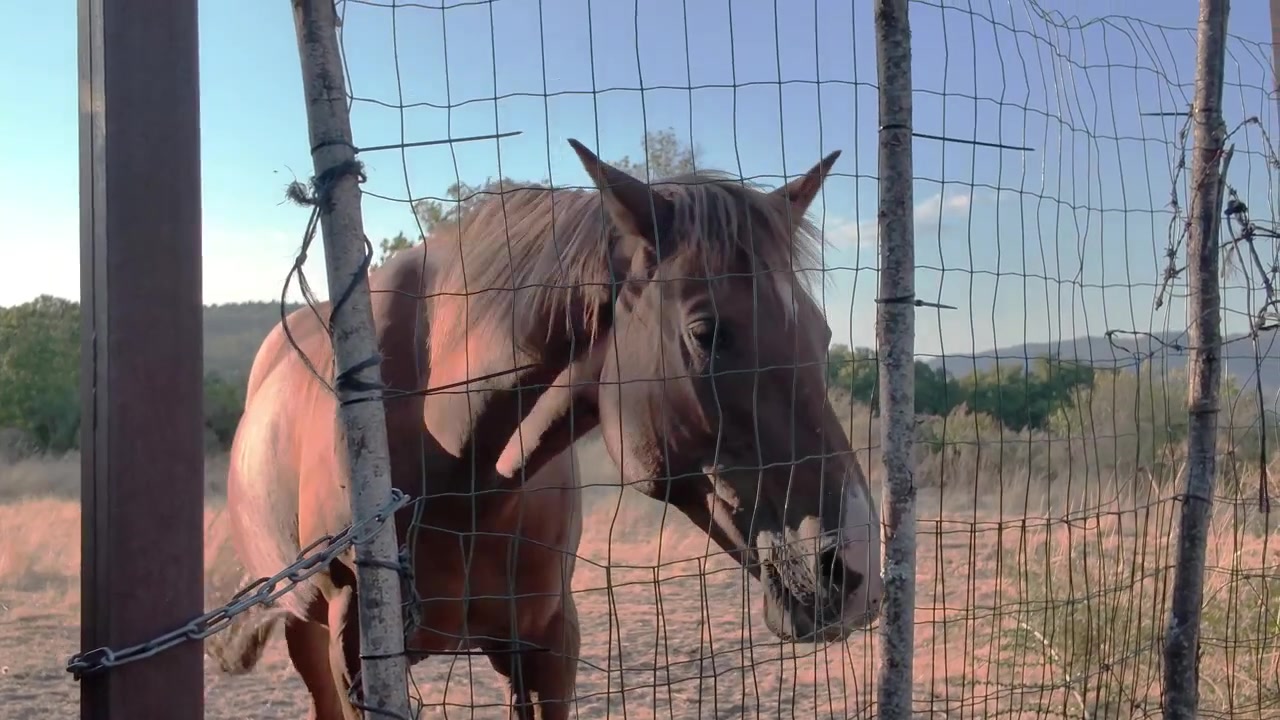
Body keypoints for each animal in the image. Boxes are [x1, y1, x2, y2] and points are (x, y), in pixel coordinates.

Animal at [205, 140, 883, 720]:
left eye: (822, 333)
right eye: (705, 332)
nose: (855, 567)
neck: (463, 481)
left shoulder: (549, 644)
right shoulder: (357, 656)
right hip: (305, 630)